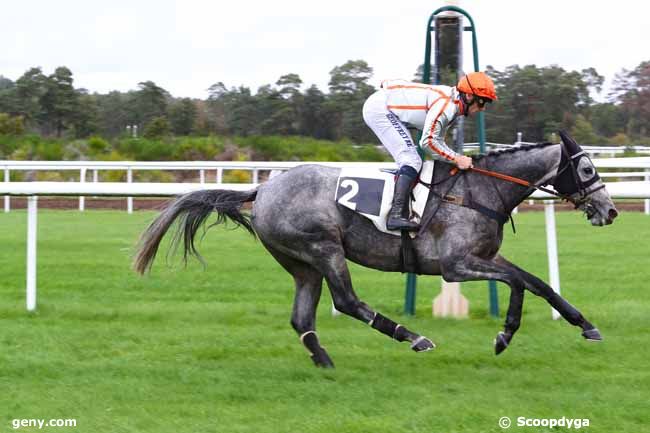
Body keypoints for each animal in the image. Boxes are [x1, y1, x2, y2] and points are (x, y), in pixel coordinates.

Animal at [133, 130, 616, 366]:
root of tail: (263, 189)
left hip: (302, 264)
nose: (609, 211)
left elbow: (538, 283)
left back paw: (325, 361)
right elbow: (516, 284)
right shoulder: (456, 265)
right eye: (587, 169)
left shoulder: (485, 256)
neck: (480, 190)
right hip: (324, 248)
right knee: (347, 301)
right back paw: (414, 337)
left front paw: (586, 326)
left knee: (302, 317)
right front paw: (504, 335)